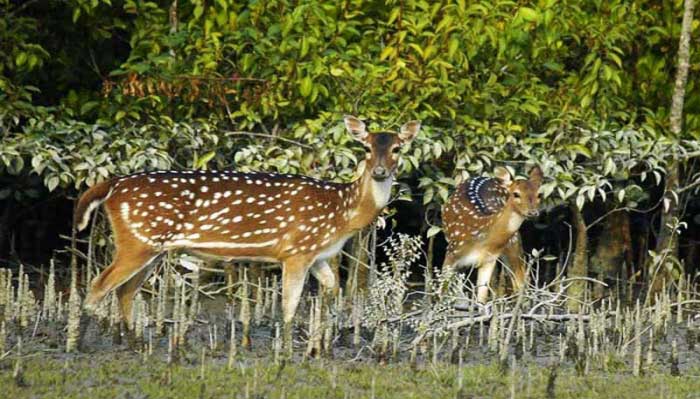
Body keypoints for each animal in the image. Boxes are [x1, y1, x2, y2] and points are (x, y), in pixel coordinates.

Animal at [75, 115, 422, 332]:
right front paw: (286, 349)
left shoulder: (319, 255)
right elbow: (288, 307)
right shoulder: (295, 250)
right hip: (137, 241)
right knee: (98, 286)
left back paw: (131, 339)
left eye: (397, 148)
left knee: (124, 292)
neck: (341, 213)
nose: (379, 171)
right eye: (366, 147)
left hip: (151, 248)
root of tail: (112, 185)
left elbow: (332, 289)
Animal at [440, 166, 544, 304]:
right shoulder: (452, 252)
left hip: (514, 243)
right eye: (516, 194)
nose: (533, 212)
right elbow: (440, 293)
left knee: (520, 280)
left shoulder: (488, 260)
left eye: (539, 195)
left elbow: (482, 299)